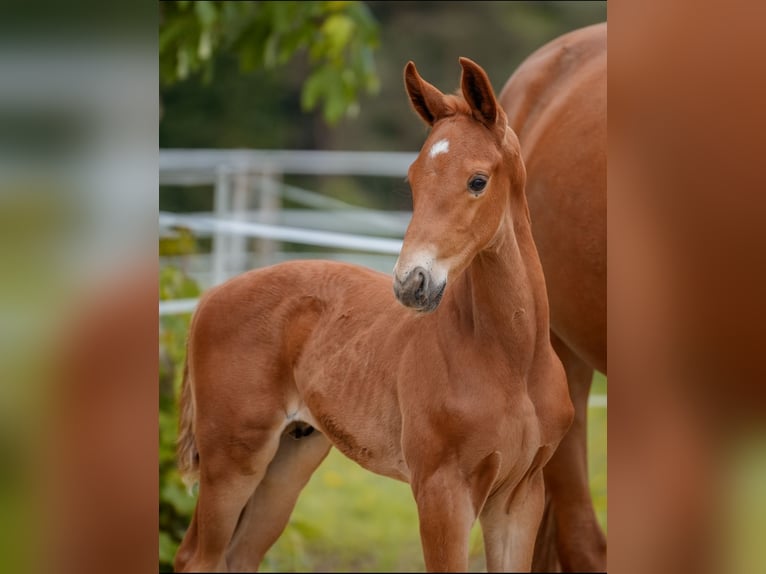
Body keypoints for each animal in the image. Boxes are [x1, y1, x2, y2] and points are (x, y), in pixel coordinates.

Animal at [174, 59, 572, 574]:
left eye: (478, 180)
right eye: (413, 180)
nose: (411, 283)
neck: (513, 361)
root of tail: (211, 296)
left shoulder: (520, 497)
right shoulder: (441, 493)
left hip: (290, 458)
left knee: (240, 555)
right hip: (232, 459)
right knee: (197, 557)